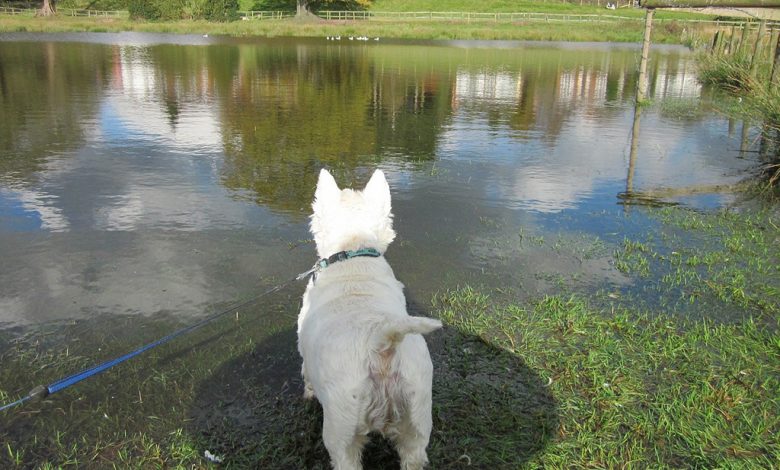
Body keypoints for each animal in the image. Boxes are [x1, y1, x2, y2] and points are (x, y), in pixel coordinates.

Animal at [298, 170, 442, 470]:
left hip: (342, 425)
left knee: (345, 456)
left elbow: (305, 374)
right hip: (417, 415)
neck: (352, 252)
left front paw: (308, 394)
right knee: (414, 453)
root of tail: (382, 343)